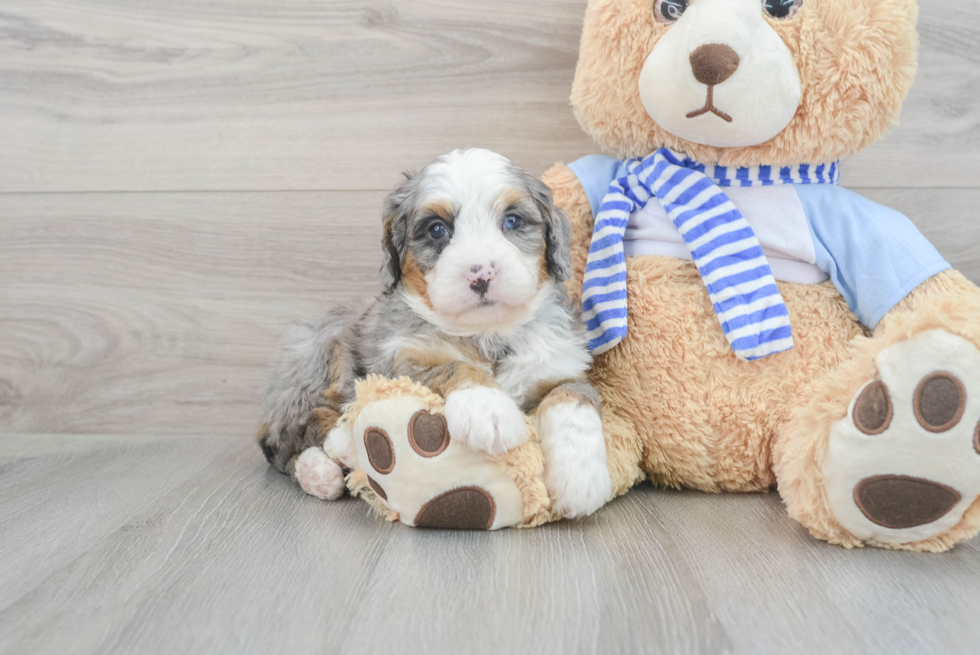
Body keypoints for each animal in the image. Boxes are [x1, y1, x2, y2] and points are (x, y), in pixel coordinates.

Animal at [260, 149, 612, 516]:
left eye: (513, 221)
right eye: (437, 229)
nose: (481, 275)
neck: (488, 335)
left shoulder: (559, 366)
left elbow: (574, 396)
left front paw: (580, 480)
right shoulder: (397, 361)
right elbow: (456, 365)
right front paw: (489, 410)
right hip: (317, 357)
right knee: (292, 434)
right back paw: (329, 460)